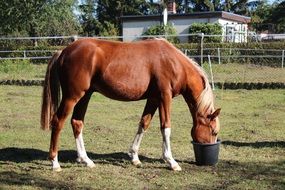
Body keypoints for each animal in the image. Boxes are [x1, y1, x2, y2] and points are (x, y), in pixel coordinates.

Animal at [40, 37, 220, 171]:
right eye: (214, 131)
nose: (211, 150)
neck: (173, 62)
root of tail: (63, 52)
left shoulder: (153, 99)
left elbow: (144, 123)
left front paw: (134, 157)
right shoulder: (164, 97)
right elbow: (166, 128)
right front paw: (171, 161)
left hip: (85, 96)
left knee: (77, 123)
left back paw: (86, 160)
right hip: (72, 96)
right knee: (58, 121)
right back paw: (55, 162)